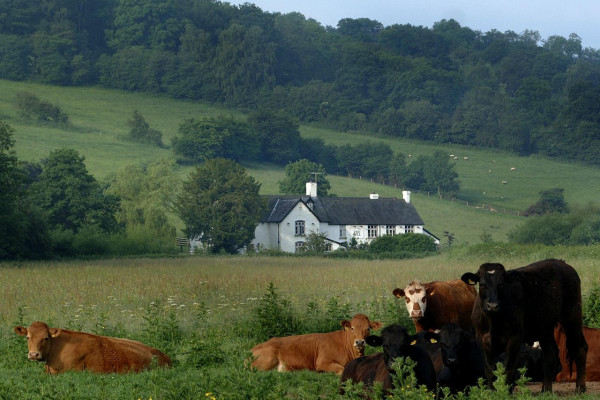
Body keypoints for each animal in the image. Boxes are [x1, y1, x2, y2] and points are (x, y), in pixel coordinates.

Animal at [462, 260, 588, 394]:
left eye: (501, 284)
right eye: (482, 284)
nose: (492, 306)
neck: (493, 322)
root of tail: (562, 263)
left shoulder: (514, 338)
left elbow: (508, 369)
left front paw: (505, 392)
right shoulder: (481, 340)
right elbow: (489, 370)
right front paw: (491, 392)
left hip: (572, 315)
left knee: (580, 348)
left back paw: (580, 388)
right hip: (545, 328)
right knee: (551, 354)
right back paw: (546, 390)